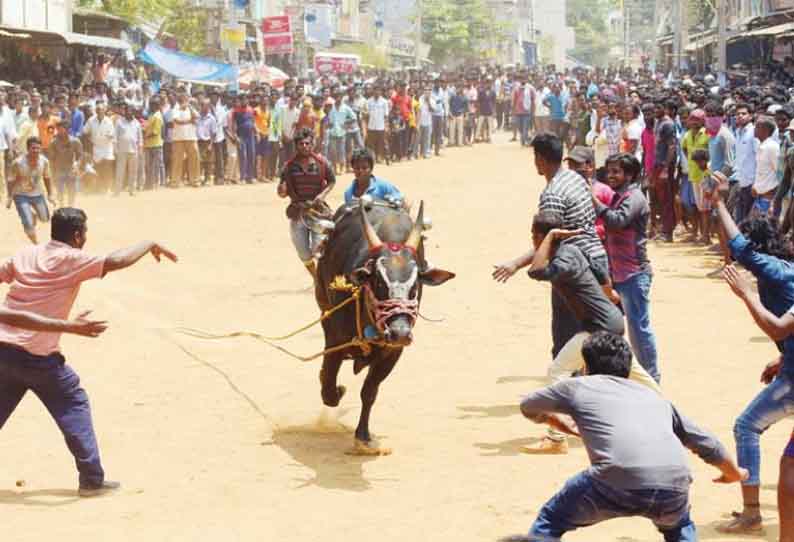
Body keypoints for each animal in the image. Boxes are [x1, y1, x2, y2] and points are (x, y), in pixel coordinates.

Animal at [314, 199, 452, 454]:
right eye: (378, 280)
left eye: (415, 285)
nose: (399, 332)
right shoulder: (336, 342)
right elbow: (328, 386)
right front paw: (338, 390)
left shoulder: (393, 352)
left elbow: (369, 392)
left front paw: (363, 436)